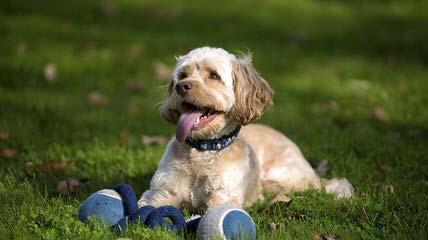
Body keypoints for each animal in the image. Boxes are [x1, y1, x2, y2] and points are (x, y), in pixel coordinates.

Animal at [138, 47, 354, 212]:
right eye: (182, 75)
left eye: (213, 75)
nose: (181, 87)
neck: (202, 149)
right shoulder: (159, 193)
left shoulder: (223, 198)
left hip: (281, 176)